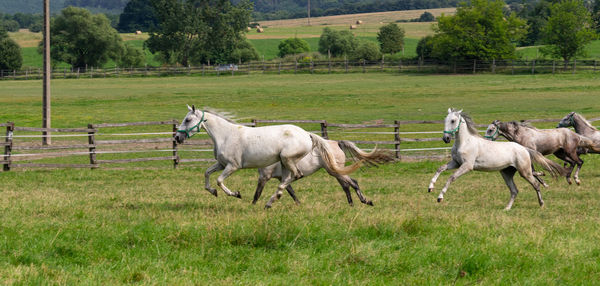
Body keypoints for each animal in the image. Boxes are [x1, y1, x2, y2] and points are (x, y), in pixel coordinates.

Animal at [173, 106, 360, 209]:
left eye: (188, 120)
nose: (177, 137)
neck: (226, 135)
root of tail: (307, 134)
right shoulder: (221, 164)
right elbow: (206, 174)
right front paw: (213, 192)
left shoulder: (232, 166)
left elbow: (219, 180)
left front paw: (236, 194)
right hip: (285, 164)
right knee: (291, 179)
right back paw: (272, 200)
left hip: (288, 159)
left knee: (296, 176)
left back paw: (271, 200)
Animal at [251, 140, 396, 207]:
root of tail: (337, 143)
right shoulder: (282, 178)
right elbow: (291, 193)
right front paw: (299, 205)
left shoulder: (264, 177)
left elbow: (257, 194)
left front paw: (253, 208)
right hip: (336, 172)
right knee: (346, 186)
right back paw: (351, 205)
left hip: (335, 171)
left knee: (353, 183)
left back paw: (365, 201)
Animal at [428, 108, 564, 209]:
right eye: (445, 119)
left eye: (453, 120)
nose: (445, 139)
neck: (465, 142)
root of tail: (523, 148)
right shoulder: (455, 163)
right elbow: (440, 168)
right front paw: (430, 188)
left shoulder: (467, 166)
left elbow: (451, 178)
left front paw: (440, 197)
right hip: (506, 173)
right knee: (514, 190)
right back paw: (507, 208)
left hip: (524, 172)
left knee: (536, 184)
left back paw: (541, 204)